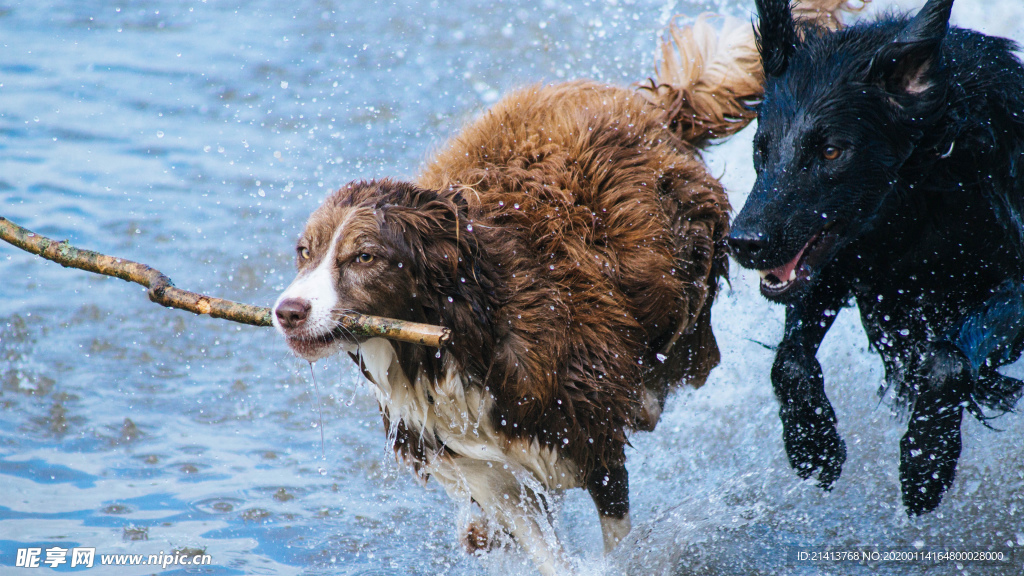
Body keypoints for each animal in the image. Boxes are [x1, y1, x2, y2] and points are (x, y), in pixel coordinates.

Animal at [729, 0, 1024, 516]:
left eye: (831, 151)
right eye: (760, 148)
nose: (744, 242)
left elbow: (947, 361)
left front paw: (926, 461)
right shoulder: (838, 266)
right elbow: (789, 361)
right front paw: (813, 445)